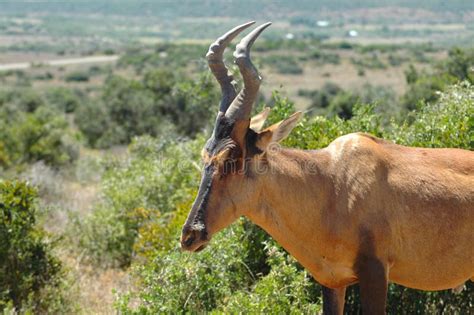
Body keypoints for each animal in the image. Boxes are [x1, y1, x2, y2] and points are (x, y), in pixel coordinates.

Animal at [180, 21, 472, 314]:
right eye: (206, 153)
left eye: (232, 157)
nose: (190, 235)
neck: (333, 182)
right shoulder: (332, 280)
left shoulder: (375, 272)